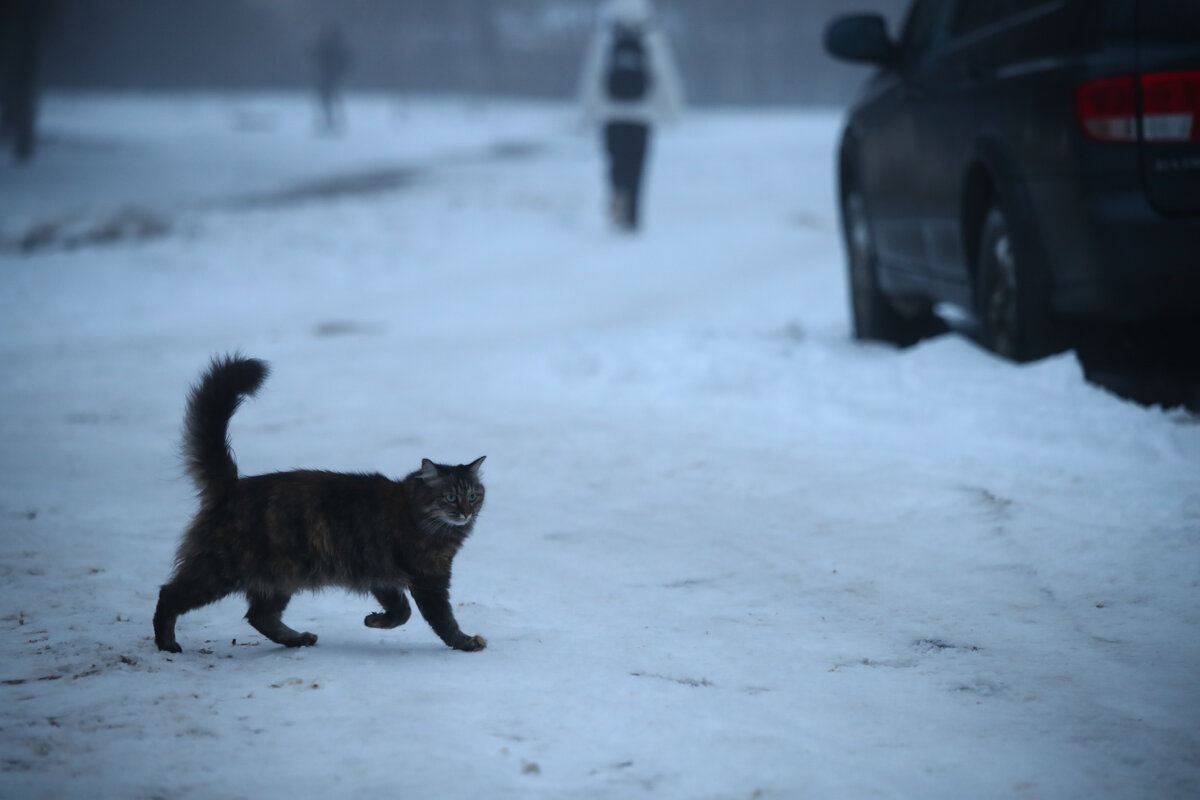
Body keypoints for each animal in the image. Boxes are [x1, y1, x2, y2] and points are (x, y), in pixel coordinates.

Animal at [154, 352, 487, 652]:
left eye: (473, 495)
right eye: (450, 497)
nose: (466, 512)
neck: (415, 512)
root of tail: (232, 485)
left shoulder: (382, 575)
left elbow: (400, 611)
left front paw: (375, 620)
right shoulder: (427, 579)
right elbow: (441, 620)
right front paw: (465, 642)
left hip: (279, 578)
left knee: (260, 616)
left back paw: (297, 639)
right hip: (221, 569)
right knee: (169, 594)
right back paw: (167, 643)